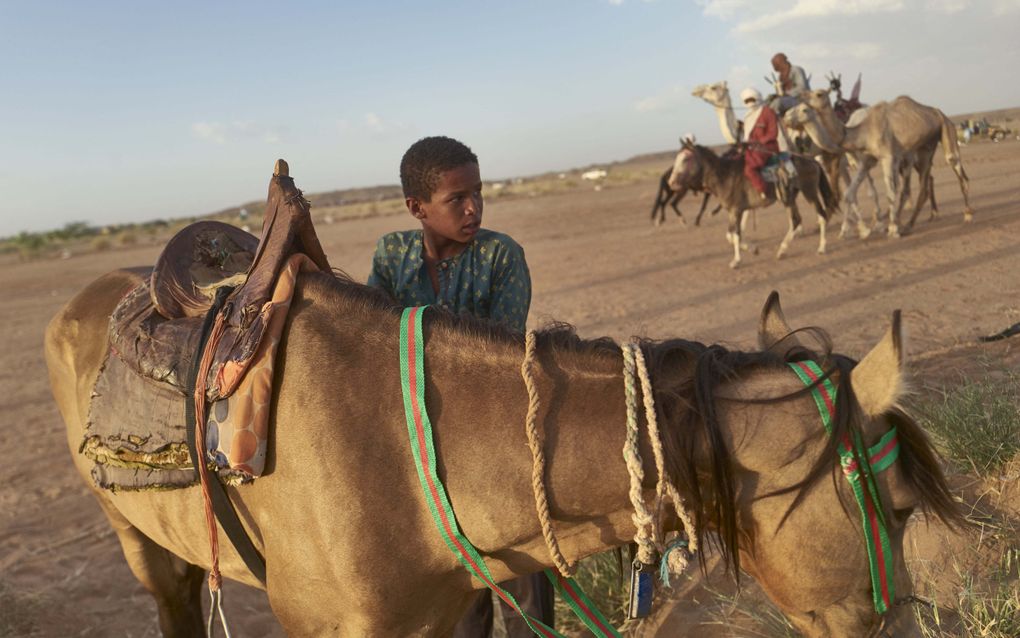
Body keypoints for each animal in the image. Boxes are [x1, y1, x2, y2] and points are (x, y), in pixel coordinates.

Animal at [669, 137, 836, 267]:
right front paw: (753, 249)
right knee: (796, 220)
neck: (725, 175)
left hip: (809, 192)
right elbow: (731, 235)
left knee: (821, 215)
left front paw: (736, 261)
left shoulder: (736, 210)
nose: (671, 183)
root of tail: (811, 160)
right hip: (789, 198)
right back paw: (781, 251)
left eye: (686, 159)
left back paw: (821, 247)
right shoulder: (734, 211)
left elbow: (735, 235)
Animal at [787, 89, 971, 236]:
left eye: (818, 94)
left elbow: (889, 192)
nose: (787, 116)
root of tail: (938, 112)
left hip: (946, 129)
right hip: (924, 149)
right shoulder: (867, 161)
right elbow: (850, 193)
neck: (861, 132)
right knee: (921, 187)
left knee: (957, 170)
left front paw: (890, 228)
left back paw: (967, 214)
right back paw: (910, 224)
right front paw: (855, 230)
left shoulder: (887, 157)